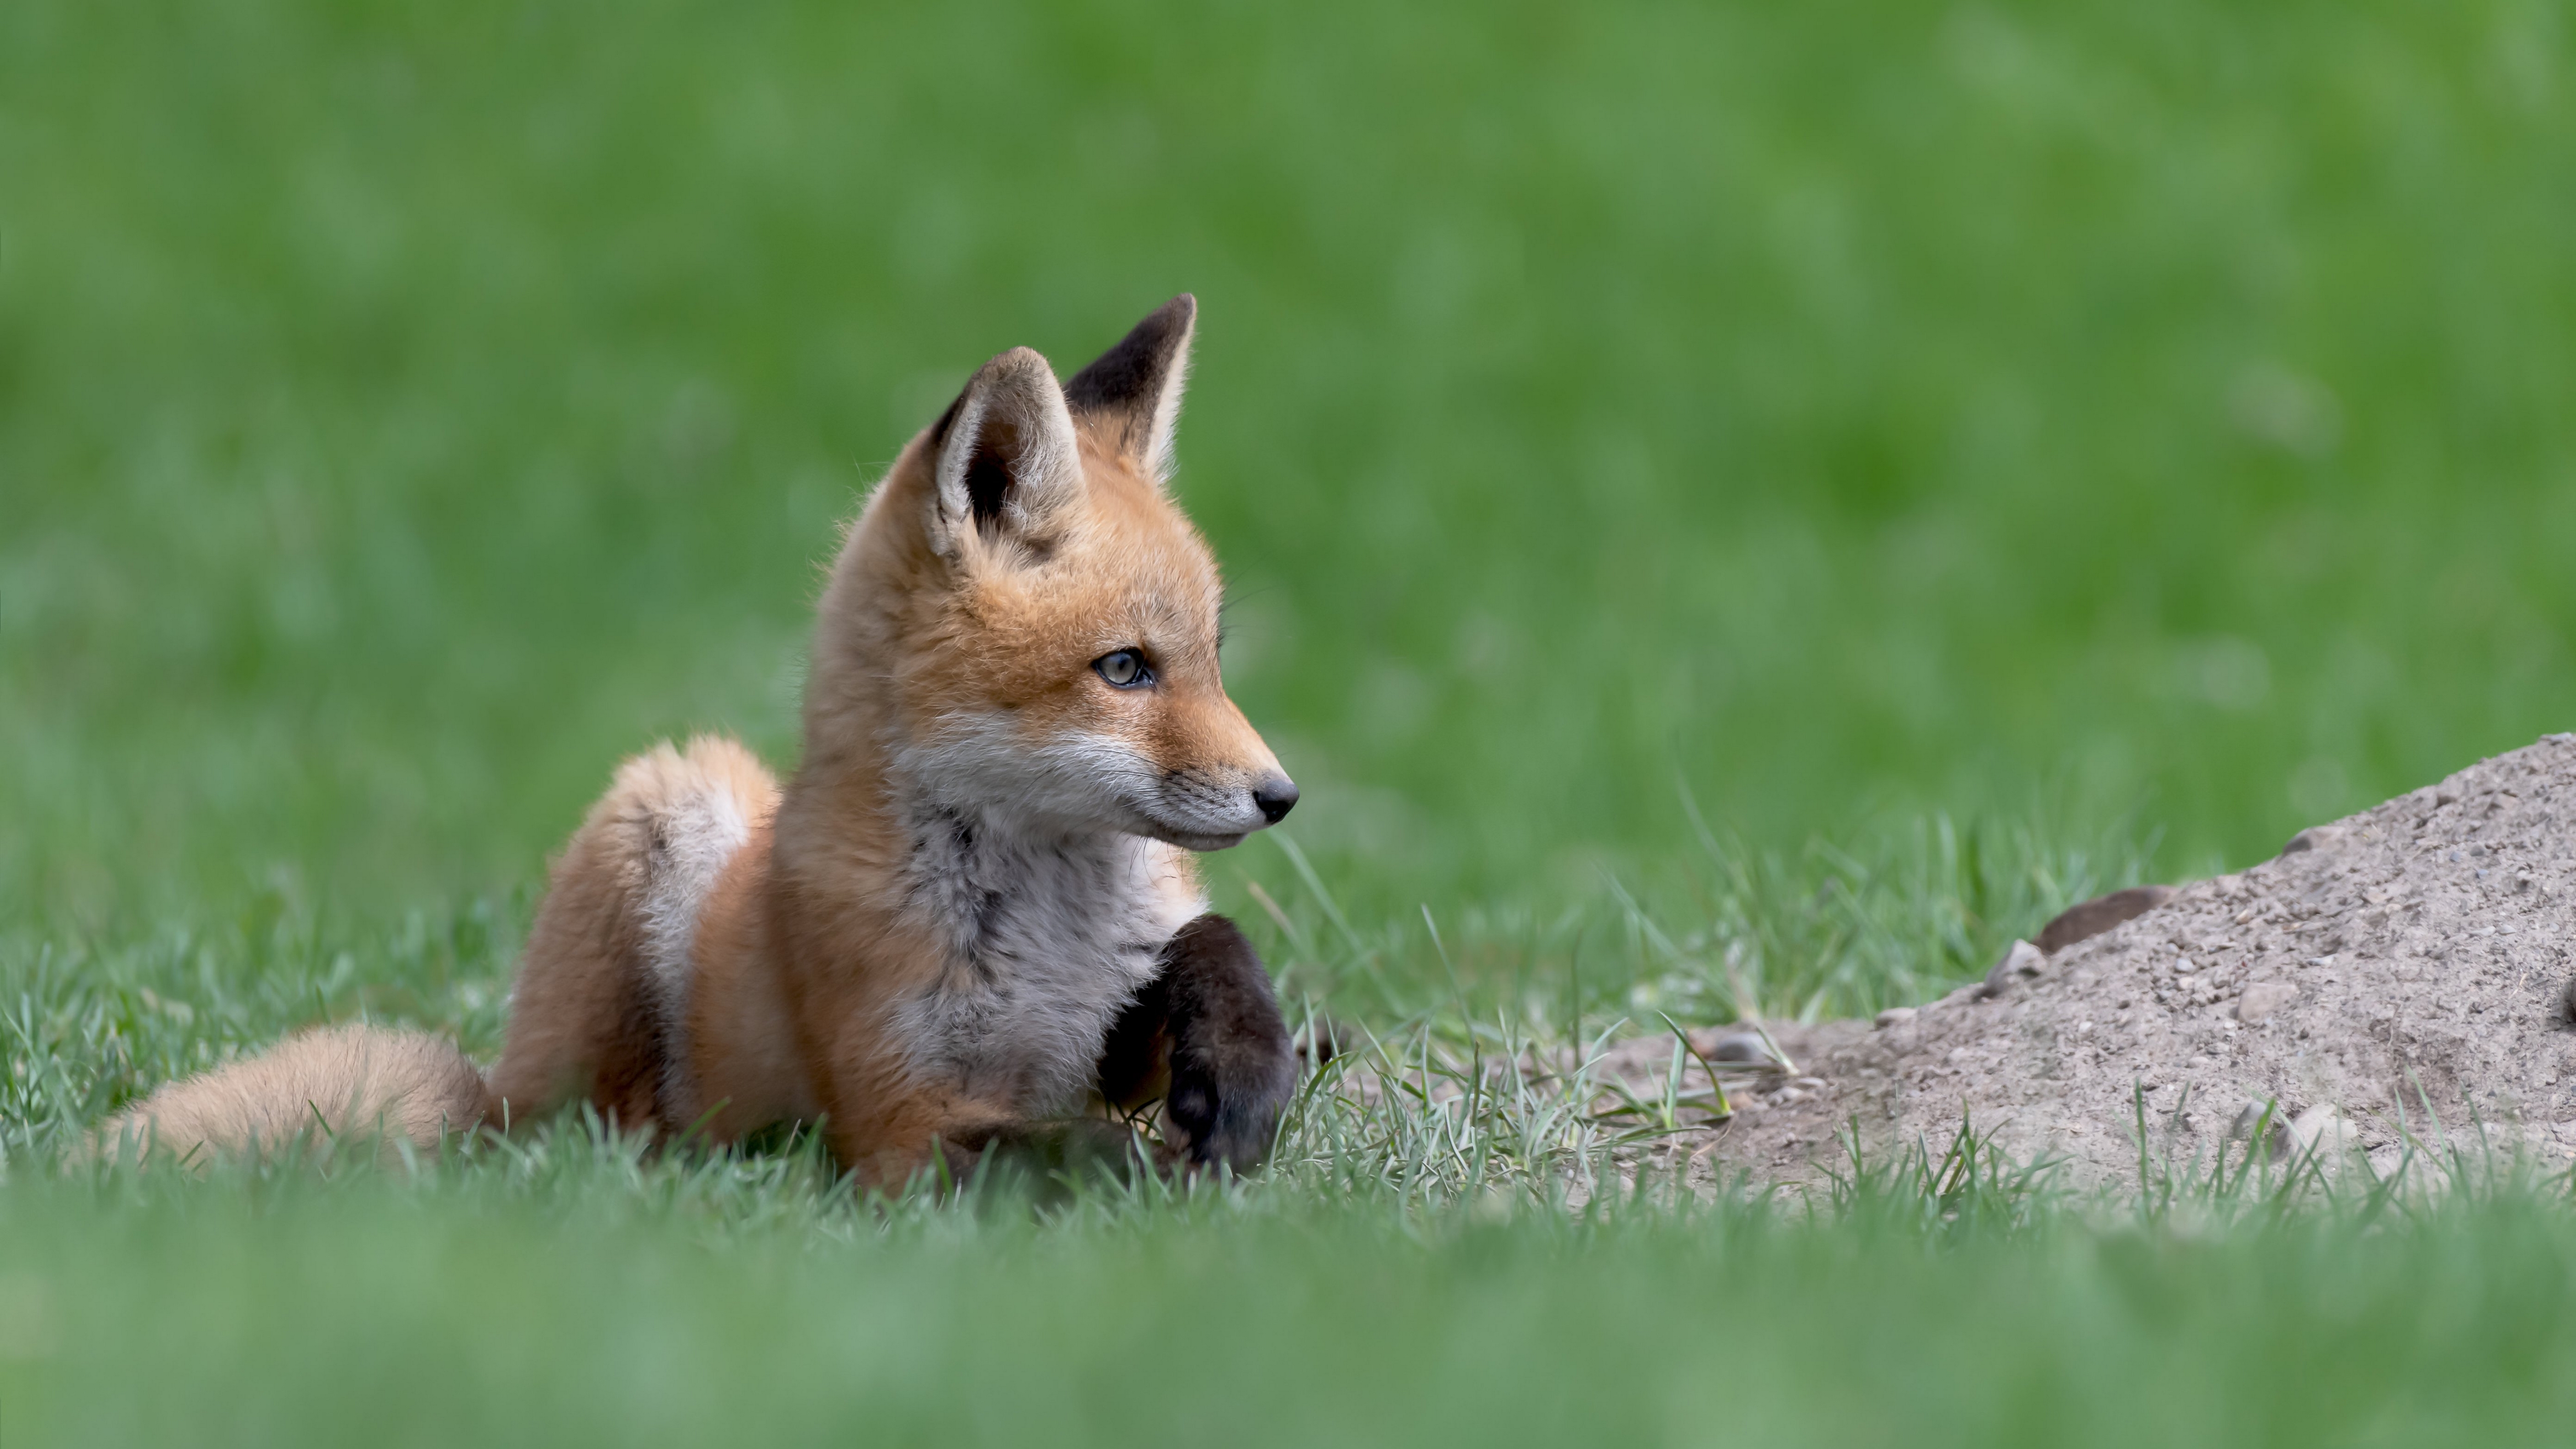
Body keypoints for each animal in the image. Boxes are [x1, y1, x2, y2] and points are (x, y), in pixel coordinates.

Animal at [100, 296, 1308, 1186]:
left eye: (1211, 658)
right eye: (1125, 670)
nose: (1280, 795)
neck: (1050, 929)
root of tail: (492, 1085)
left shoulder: (1104, 1029)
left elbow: (1209, 946)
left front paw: (1242, 1074)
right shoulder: (903, 1122)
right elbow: (1062, 1147)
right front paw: (1168, 1172)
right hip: (675, 802)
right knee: (621, 1134)